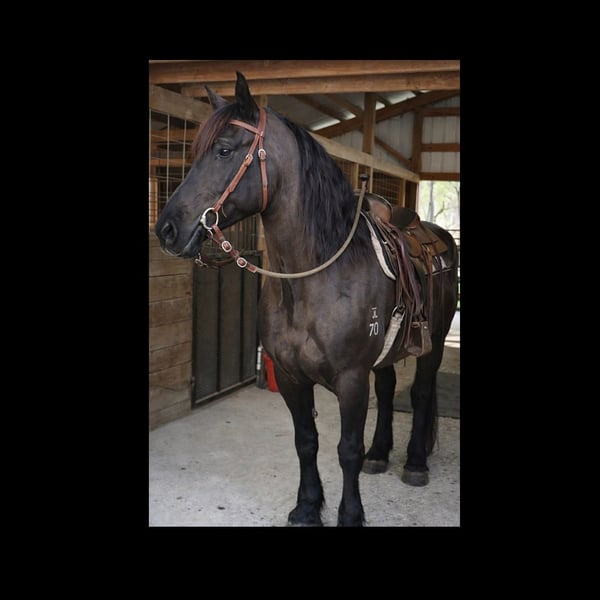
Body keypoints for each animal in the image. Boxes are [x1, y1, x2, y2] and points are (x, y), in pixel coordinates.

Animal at [155, 71, 459, 526]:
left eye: (224, 150)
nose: (167, 230)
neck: (315, 280)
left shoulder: (351, 379)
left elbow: (346, 450)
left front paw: (350, 514)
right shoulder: (291, 377)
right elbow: (306, 441)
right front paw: (307, 506)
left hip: (433, 342)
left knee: (420, 393)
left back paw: (415, 463)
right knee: (389, 390)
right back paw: (380, 454)